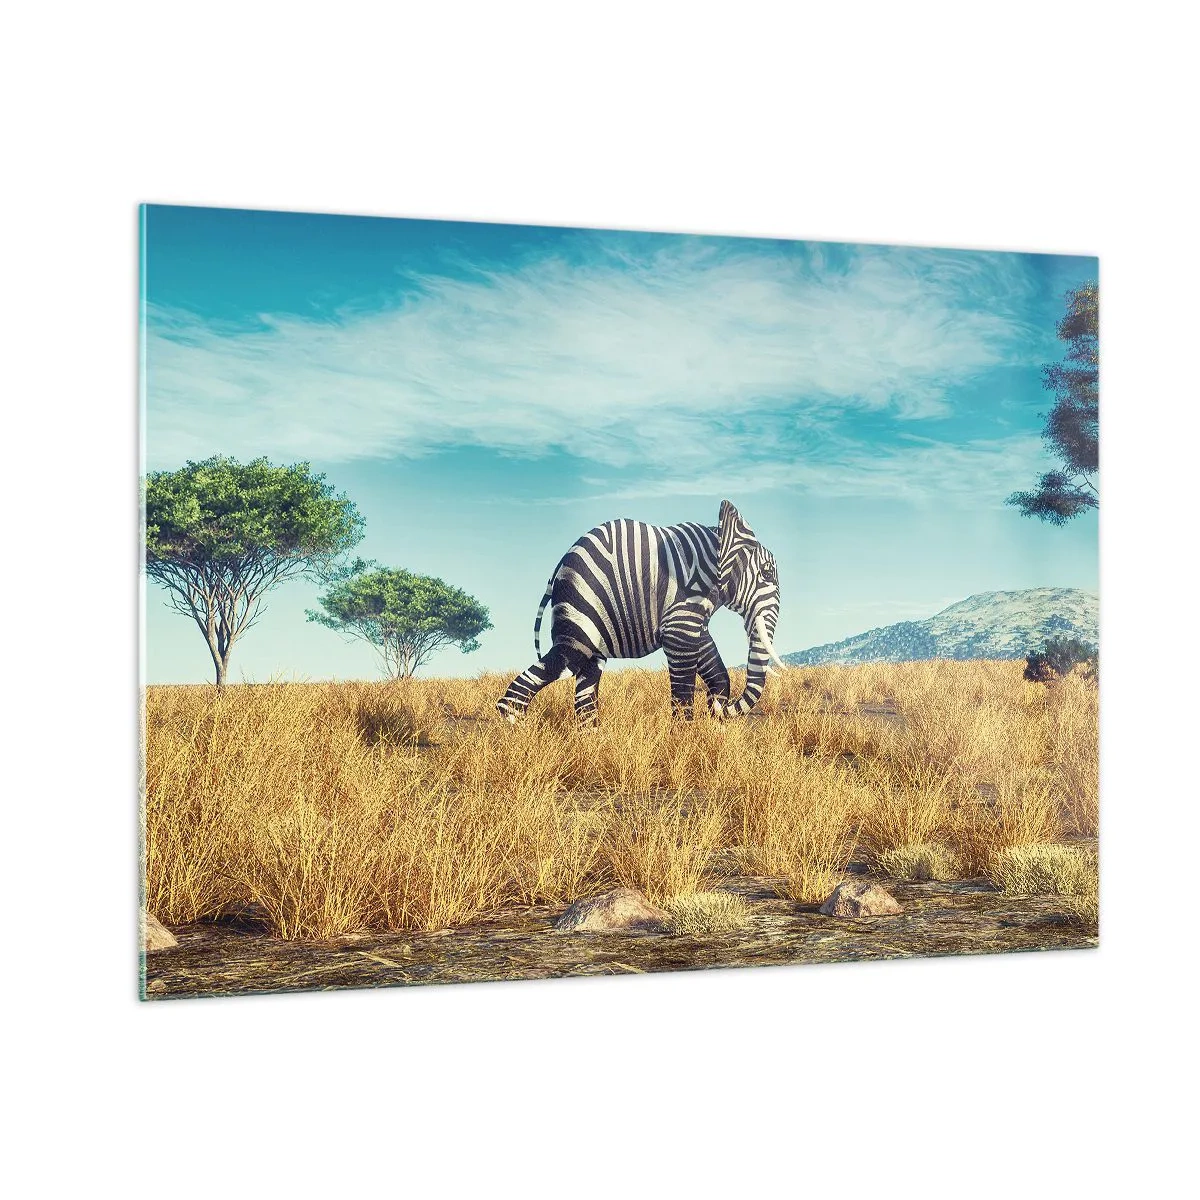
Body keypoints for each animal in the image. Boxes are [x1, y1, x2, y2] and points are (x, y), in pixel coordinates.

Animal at [497, 500, 786, 723]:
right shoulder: (681, 608)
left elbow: (717, 670)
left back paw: (593, 746)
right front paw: (685, 742)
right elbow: (683, 685)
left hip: (593, 636)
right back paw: (518, 735)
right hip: (580, 608)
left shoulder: (692, 616)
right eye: (767, 574)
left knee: (586, 686)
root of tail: (558, 566)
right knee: (562, 663)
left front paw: (712, 727)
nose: (721, 710)